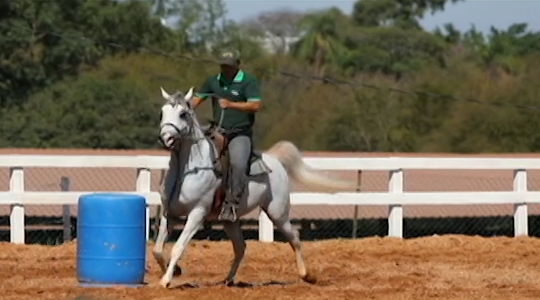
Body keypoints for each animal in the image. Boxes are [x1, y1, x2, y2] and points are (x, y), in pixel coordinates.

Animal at [152, 86, 356, 288]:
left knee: (295, 238)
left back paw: (307, 275)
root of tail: (274, 160)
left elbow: (178, 247)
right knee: (241, 247)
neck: (187, 169)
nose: (165, 138)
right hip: (230, 221)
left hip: (277, 213)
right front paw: (174, 271)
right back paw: (228, 280)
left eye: (183, 114)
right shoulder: (169, 214)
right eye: (162, 113)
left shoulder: (197, 214)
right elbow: (157, 249)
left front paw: (166, 280)